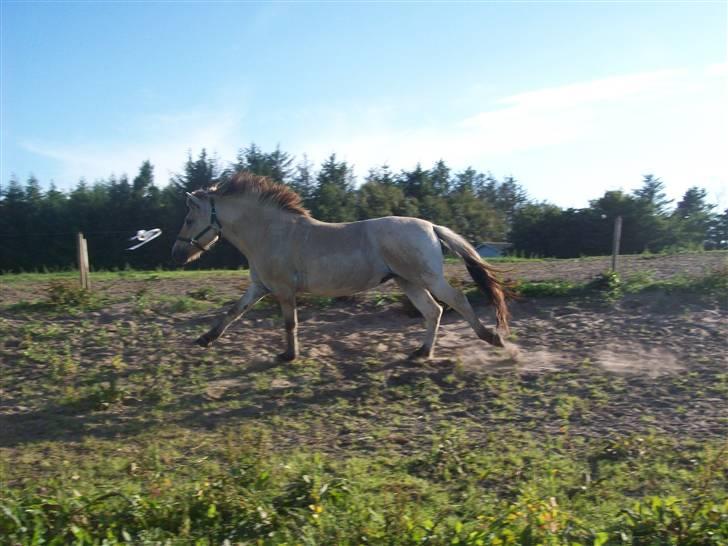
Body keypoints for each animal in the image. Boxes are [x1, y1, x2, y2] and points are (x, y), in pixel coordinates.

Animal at [172, 172, 512, 360]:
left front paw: (289, 356)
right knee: (434, 311)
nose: (177, 253)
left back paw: (492, 338)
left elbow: (289, 323)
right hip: (408, 282)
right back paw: (421, 353)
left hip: (428, 277)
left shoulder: (283, 290)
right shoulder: (259, 287)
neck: (269, 232)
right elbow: (233, 312)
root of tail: (430, 225)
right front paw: (205, 339)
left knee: (458, 300)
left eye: (188, 219)